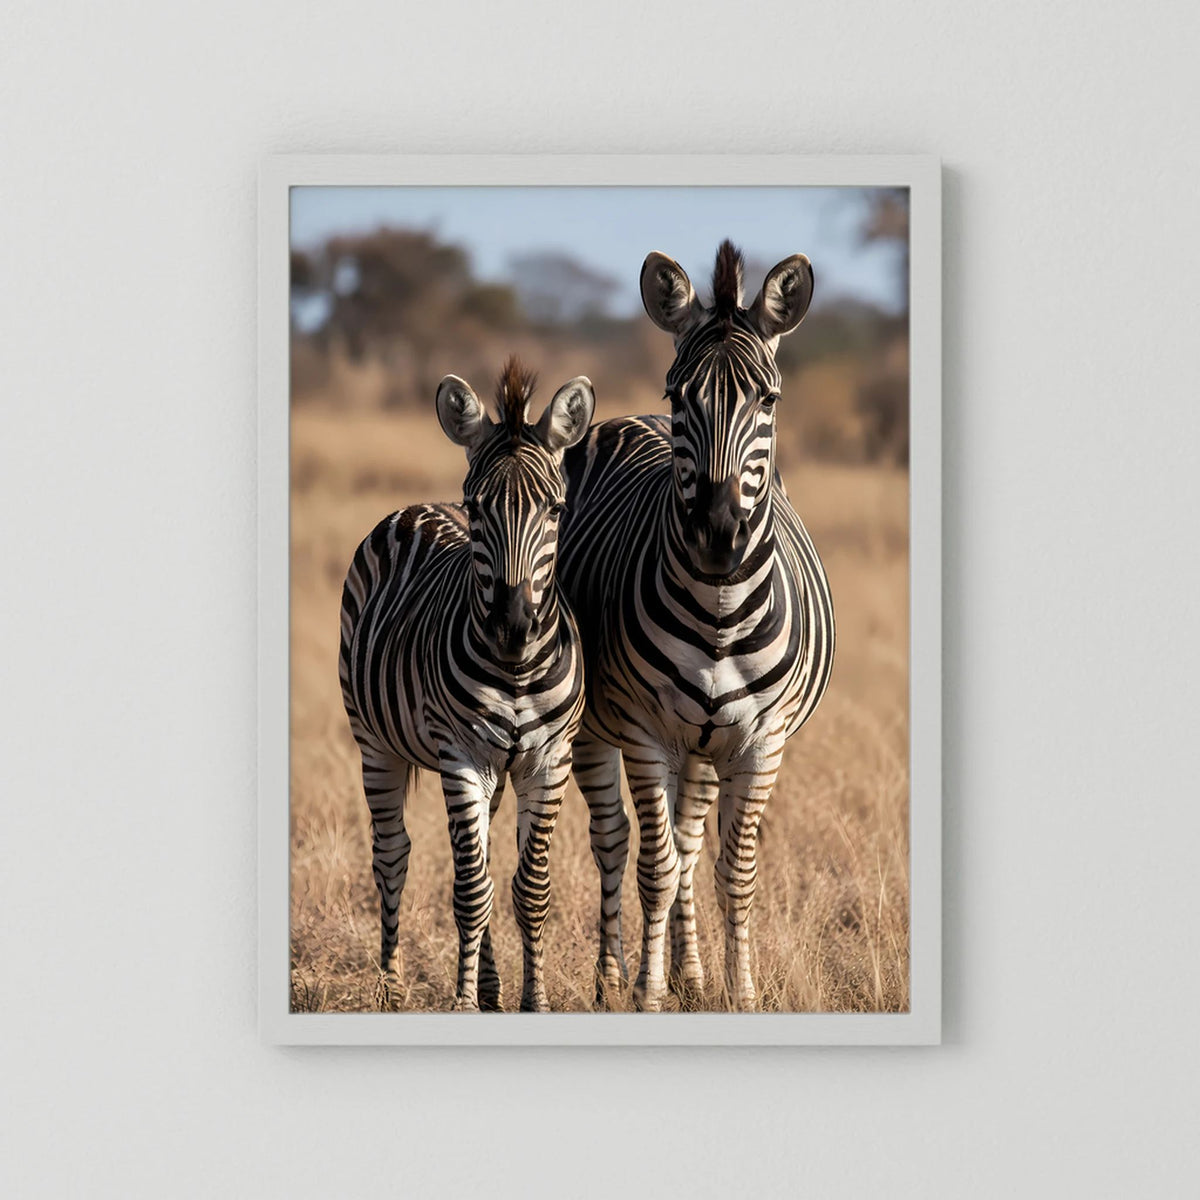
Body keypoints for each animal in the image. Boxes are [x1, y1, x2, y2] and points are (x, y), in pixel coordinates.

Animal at [339, 358, 594, 1012]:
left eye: (556, 511)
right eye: (477, 509)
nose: (512, 623)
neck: (517, 669)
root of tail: (415, 508)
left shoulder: (549, 759)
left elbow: (528, 888)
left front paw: (532, 1000)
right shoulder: (461, 755)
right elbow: (471, 891)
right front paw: (459, 1001)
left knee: (480, 858)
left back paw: (491, 985)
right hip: (372, 741)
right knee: (392, 855)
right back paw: (392, 987)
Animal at [558, 241, 835, 1011]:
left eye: (768, 400)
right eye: (679, 396)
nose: (717, 533)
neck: (719, 609)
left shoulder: (761, 743)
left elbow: (730, 873)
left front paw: (739, 994)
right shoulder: (644, 731)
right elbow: (652, 867)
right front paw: (646, 995)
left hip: (706, 746)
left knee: (686, 844)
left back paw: (693, 974)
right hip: (600, 728)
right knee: (616, 842)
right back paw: (613, 978)